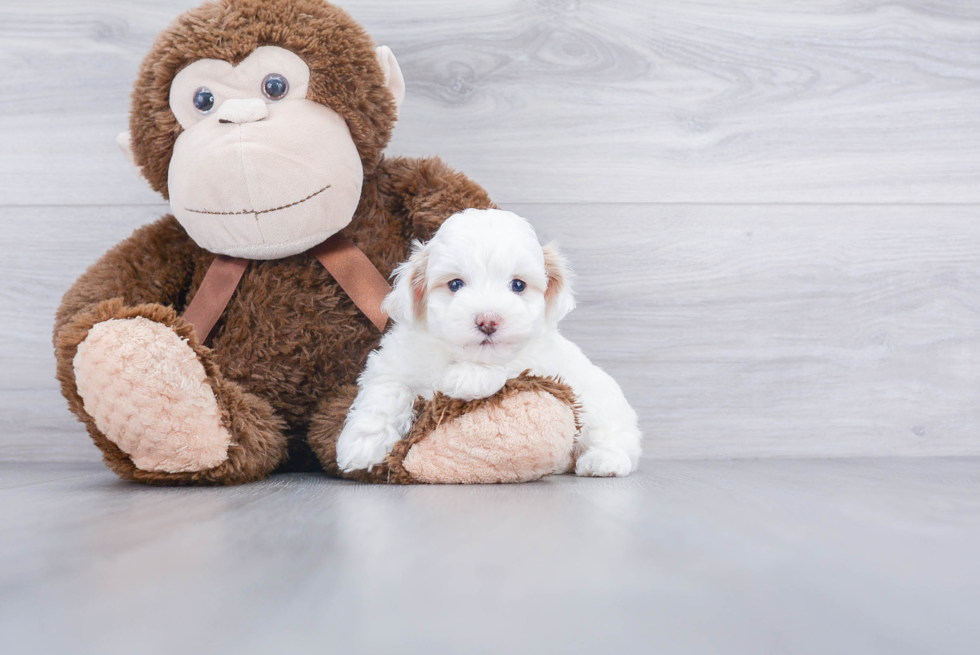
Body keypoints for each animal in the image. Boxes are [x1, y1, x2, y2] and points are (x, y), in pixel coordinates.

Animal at [336, 209, 644, 476]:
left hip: (603, 406)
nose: (488, 321)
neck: (457, 353)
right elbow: (385, 392)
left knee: (615, 439)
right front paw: (361, 445)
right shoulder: (396, 361)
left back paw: (603, 461)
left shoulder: (540, 359)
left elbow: (511, 364)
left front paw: (465, 377)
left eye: (518, 285)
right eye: (455, 284)